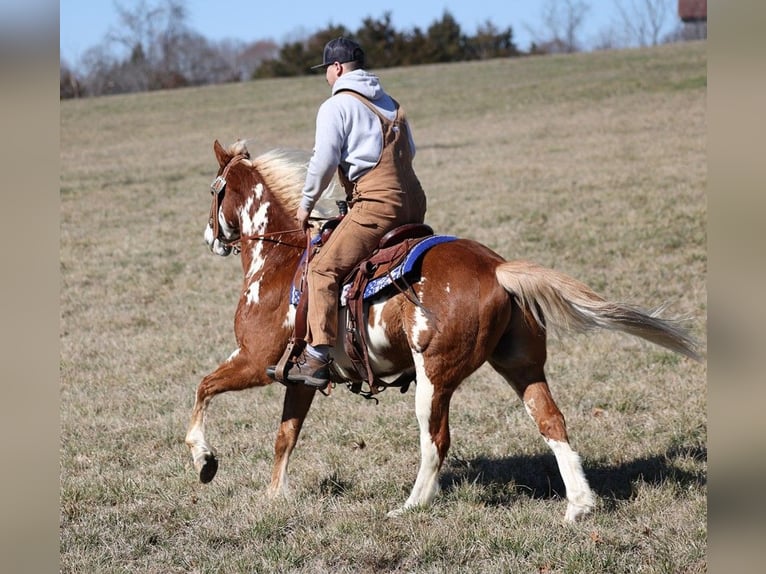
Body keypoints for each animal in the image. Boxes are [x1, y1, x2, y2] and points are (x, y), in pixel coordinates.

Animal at [186, 141, 704, 528]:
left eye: (214, 191)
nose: (210, 237)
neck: (279, 261)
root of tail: (497, 268)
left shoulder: (257, 362)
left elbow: (203, 388)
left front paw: (205, 460)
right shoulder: (300, 377)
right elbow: (285, 436)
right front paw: (274, 497)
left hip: (434, 379)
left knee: (436, 441)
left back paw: (410, 506)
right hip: (521, 366)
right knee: (552, 422)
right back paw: (579, 506)